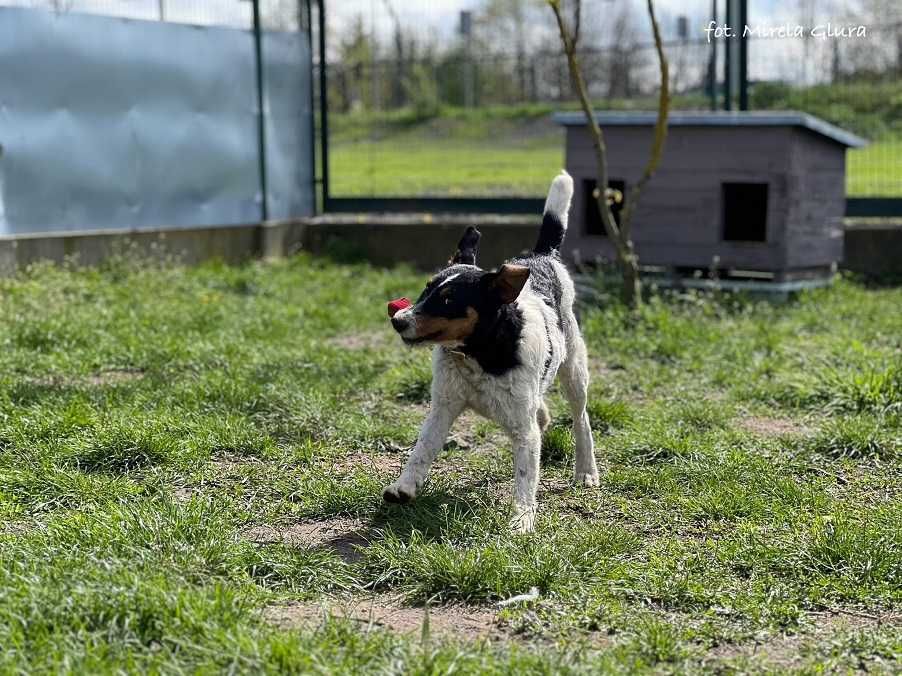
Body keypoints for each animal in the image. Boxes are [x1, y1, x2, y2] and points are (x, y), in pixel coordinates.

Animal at [384, 172, 596, 532]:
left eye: (448, 300)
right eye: (426, 290)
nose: (398, 320)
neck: (478, 355)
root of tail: (542, 255)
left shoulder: (523, 431)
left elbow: (525, 476)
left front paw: (522, 520)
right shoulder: (442, 408)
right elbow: (422, 450)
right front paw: (404, 486)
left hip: (574, 371)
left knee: (581, 420)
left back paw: (586, 470)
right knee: (544, 413)